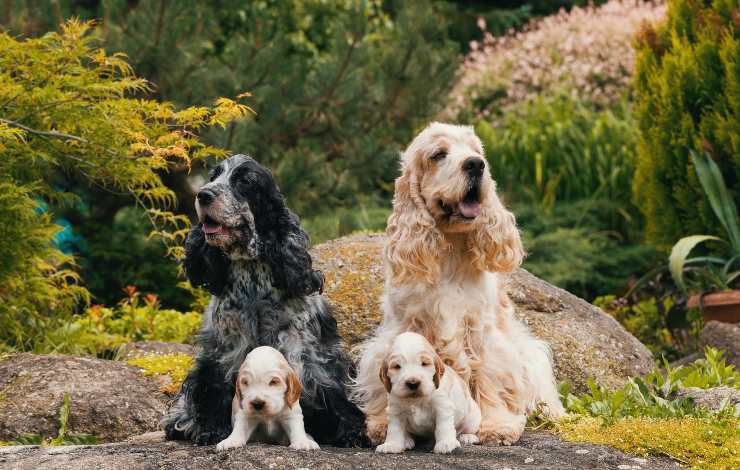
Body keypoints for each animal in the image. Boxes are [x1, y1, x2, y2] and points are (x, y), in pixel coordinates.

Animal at [163, 154, 368, 448]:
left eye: (245, 181)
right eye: (214, 176)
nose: (203, 194)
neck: (252, 277)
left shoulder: (307, 353)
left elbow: (332, 391)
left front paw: (352, 433)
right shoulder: (224, 351)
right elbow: (214, 389)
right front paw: (211, 430)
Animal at [356, 123, 564, 446]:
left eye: (477, 152)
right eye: (438, 155)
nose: (476, 165)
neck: (450, 251)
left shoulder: (481, 330)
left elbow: (491, 377)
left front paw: (496, 426)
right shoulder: (405, 326)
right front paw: (383, 424)